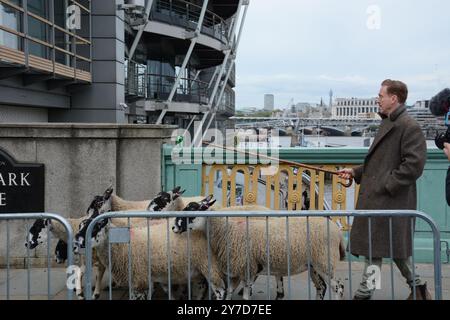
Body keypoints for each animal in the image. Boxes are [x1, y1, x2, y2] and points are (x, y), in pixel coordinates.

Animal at [76, 199, 229, 302]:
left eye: (96, 227)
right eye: (80, 226)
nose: (75, 244)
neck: (122, 245)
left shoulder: (140, 279)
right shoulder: (140, 279)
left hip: (208, 263)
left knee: (220, 289)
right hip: (197, 268)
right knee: (201, 287)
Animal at [171, 195, 344, 300]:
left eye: (192, 209)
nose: (173, 227)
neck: (227, 230)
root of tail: (337, 231)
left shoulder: (249, 268)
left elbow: (245, 296)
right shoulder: (236, 270)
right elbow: (228, 293)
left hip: (326, 261)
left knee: (338, 287)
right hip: (315, 264)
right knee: (321, 287)